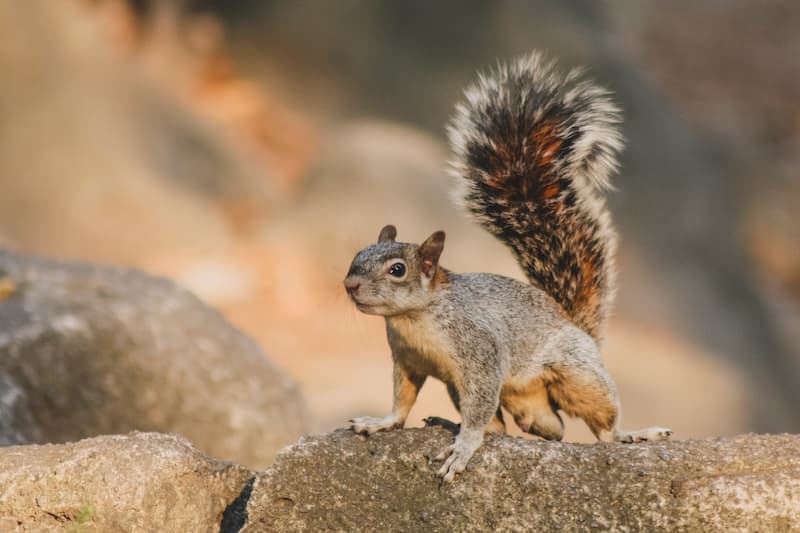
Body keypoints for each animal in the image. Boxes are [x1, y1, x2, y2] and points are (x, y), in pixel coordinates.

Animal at [343, 52, 671, 483]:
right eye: (357, 256)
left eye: (397, 270)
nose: (349, 284)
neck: (414, 319)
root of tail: (575, 325)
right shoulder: (407, 361)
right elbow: (402, 399)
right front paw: (382, 422)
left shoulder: (480, 353)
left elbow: (478, 408)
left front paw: (463, 447)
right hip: (501, 398)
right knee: (537, 428)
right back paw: (452, 422)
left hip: (577, 374)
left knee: (600, 426)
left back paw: (633, 434)